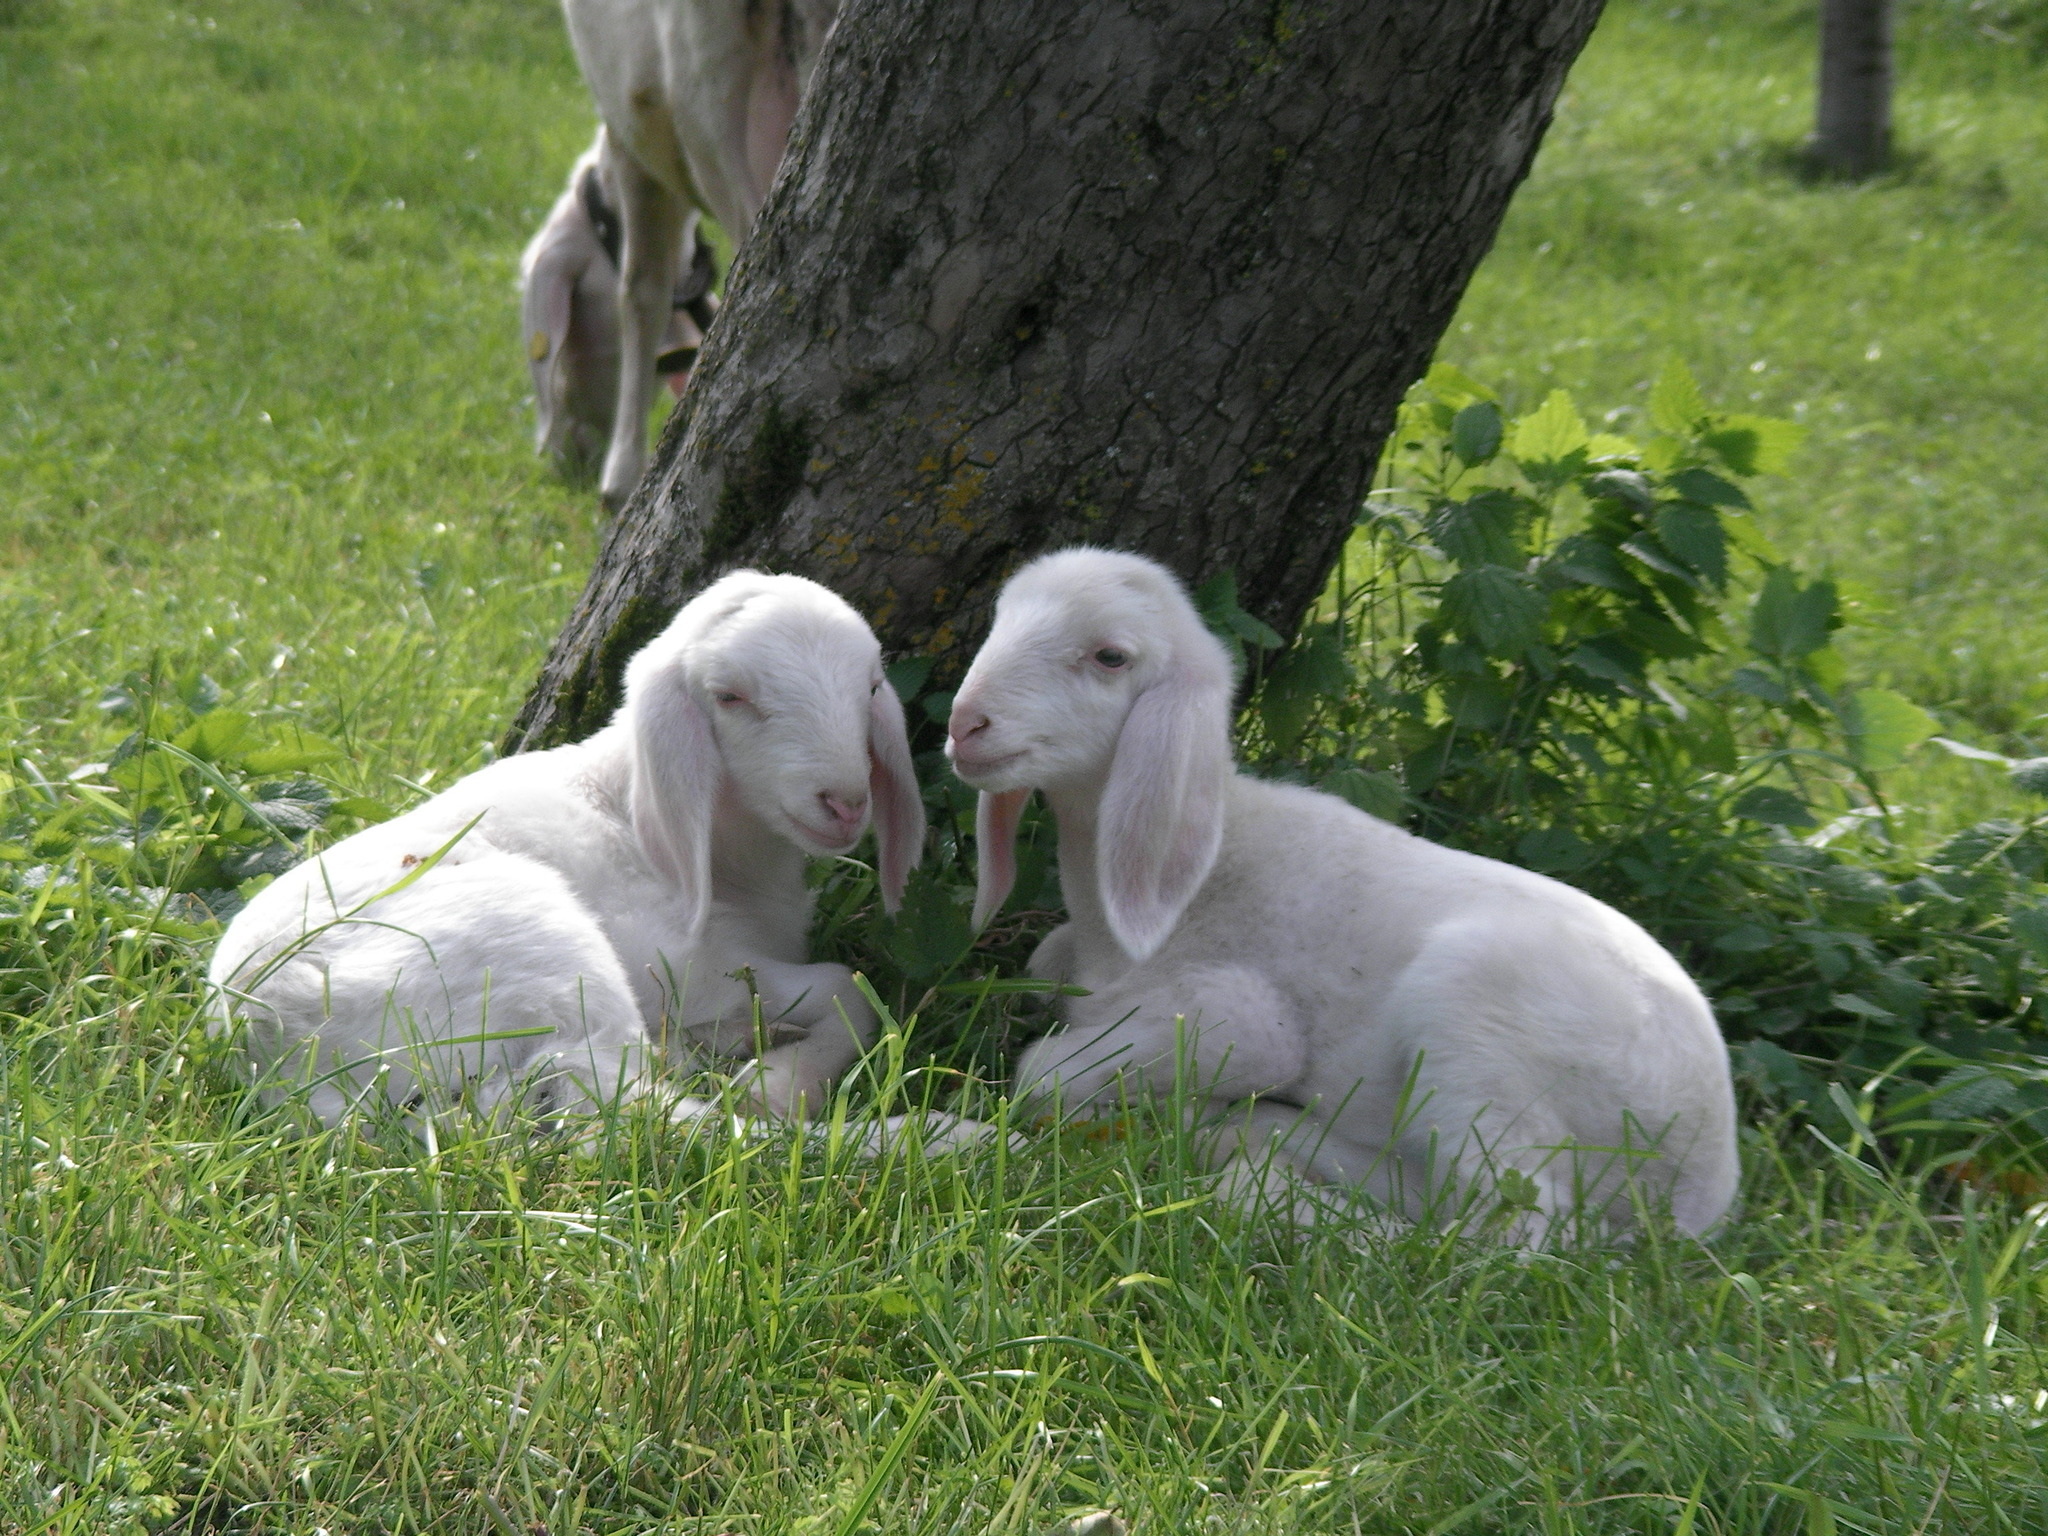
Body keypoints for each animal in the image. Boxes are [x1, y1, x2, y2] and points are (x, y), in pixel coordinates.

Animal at [208, 570, 924, 1131]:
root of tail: (275, 1049)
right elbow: (847, 986)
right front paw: (777, 1082)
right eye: (731, 697)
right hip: (550, 956)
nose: (846, 802)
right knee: (636, 1112)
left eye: (870, 688)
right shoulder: (685, 969)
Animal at [946, 548, 1740, 1242]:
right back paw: (1259, 1137)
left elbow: (1040, 1071)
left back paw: (1265, 1192)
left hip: (1478, 1027)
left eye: (1110, 657)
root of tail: (1702, 1187)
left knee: (1509, 1230)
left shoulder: (1242, 1019)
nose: (964, 724)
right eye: (998, 619)